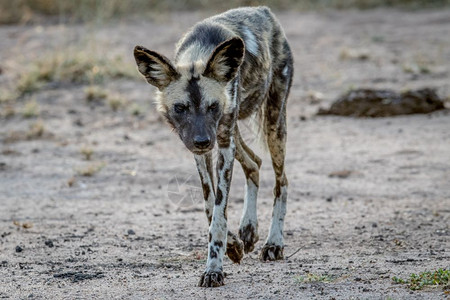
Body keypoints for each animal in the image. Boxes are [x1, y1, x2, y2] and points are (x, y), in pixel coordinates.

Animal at [134, 7, 294, 288]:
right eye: (180, 108)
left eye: (212, 106)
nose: (202, 141)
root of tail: (264, 10)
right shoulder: (203, 152)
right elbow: (211, 207)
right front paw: (232, 246)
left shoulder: (223, 145)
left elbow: (219, 213)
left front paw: (214, 269)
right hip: (231, 133)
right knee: (254, 163)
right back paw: (249, 230)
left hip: (272, 124)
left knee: (281, 181)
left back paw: (274, 243)